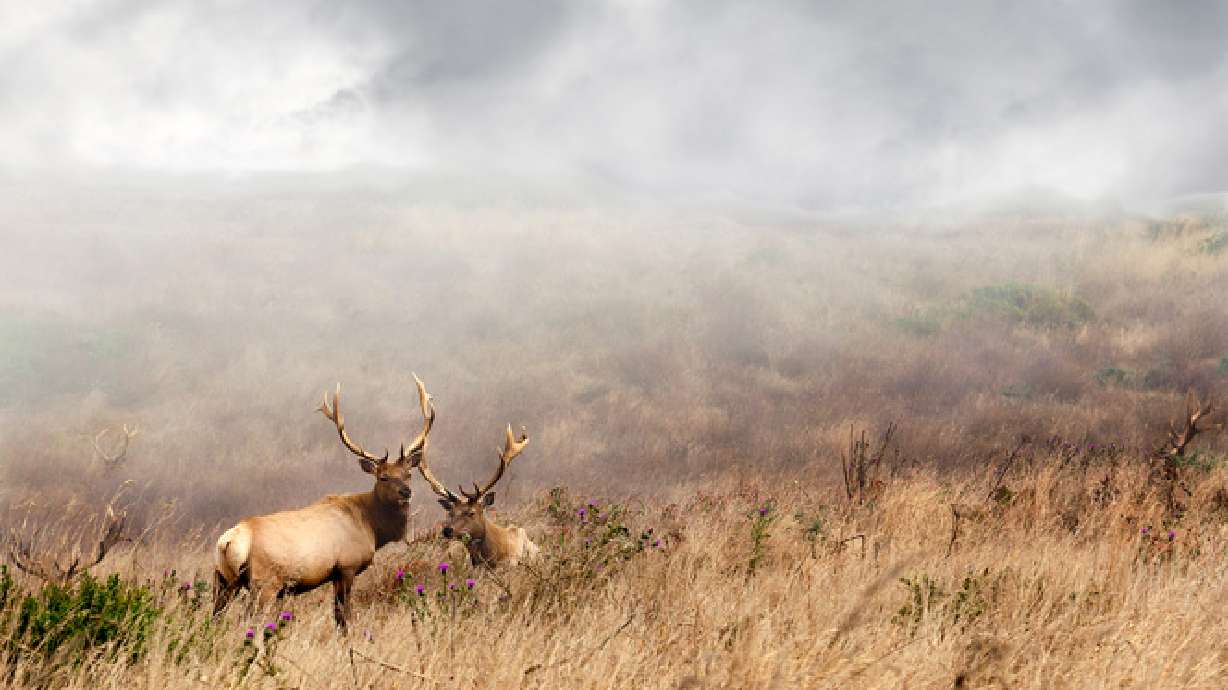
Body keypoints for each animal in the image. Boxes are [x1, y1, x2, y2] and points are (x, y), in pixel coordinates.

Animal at [213, 375, 435, 628]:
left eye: (408, 474)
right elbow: (343, 617)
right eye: (383, 477)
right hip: (264, 583)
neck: (372, 527)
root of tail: (228, 541)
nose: (406, 492)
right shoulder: (346, 566)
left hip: (223, 580)